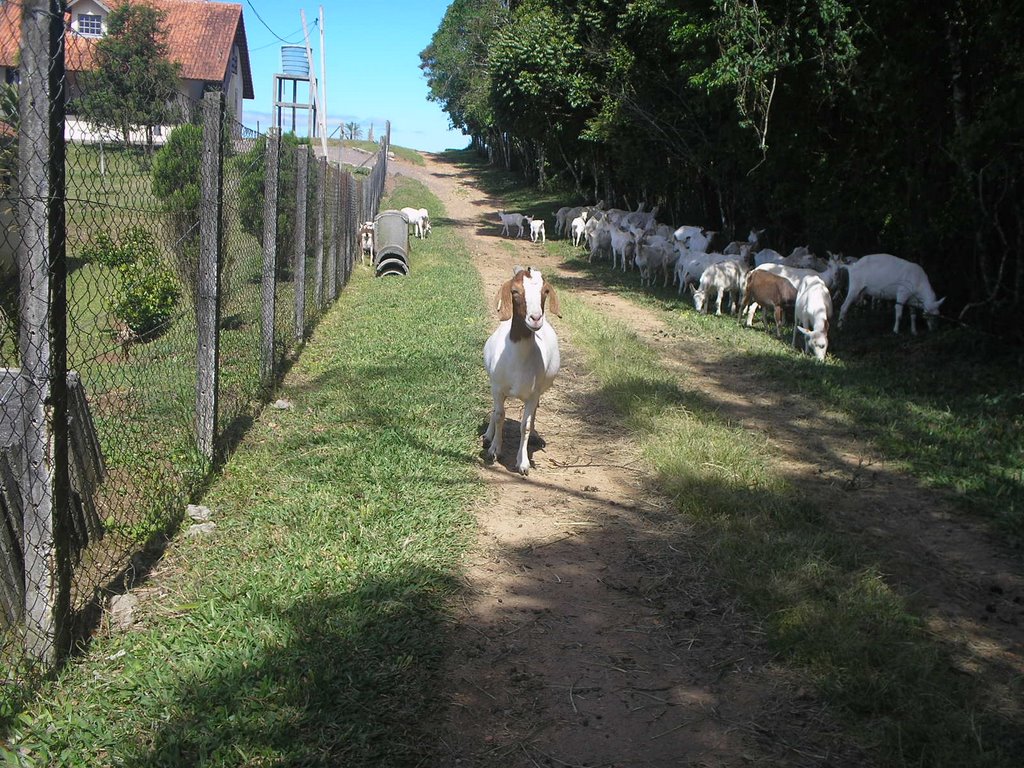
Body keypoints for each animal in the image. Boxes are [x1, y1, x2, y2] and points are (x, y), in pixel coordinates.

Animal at [483, 268, 565, 479]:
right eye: (515, 291)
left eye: (545, 291)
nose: (535, 318)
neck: (518, 359)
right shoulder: (498, 388)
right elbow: (499, 415)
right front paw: (494, 449)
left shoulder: (532, 394)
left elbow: (525, 426)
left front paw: (523, 463)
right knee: (494, 411)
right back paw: (487, 436)